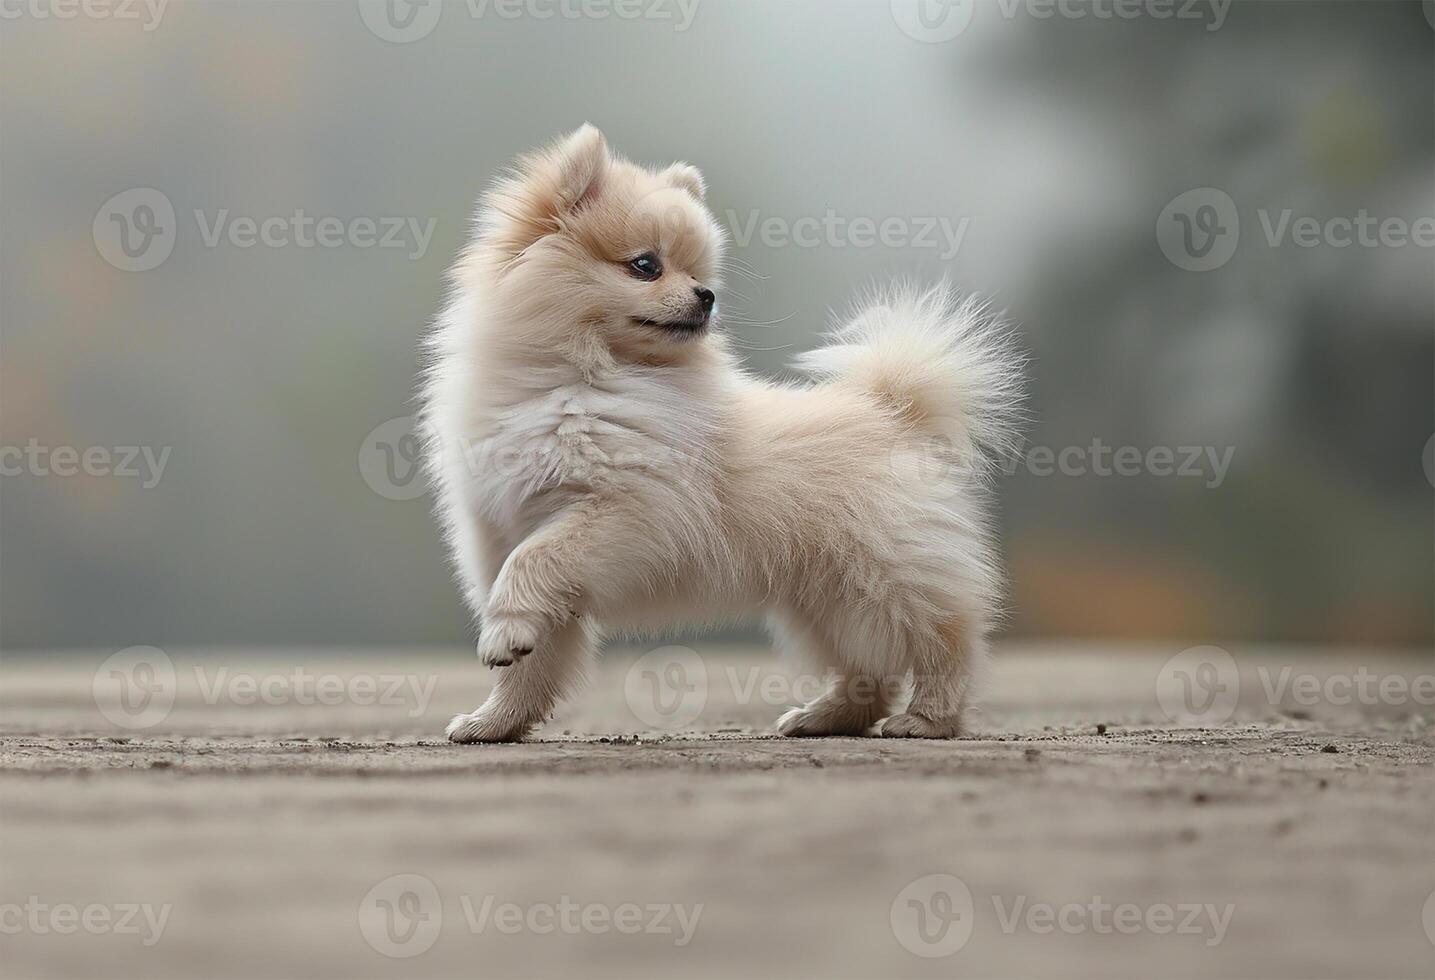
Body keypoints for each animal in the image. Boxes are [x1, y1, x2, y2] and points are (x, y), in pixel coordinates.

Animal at [419, 126, 1027, 746]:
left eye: (698, 274)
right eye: (646, 265)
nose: (707, 296)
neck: (577, 378)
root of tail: (895, 410)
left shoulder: (624, 512)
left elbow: (534, 563)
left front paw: (501, 642)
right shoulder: (499, 529)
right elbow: (532, 654)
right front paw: (496, 720)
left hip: (883, 576)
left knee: (945, 637)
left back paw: (926, 718)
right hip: (822, 599)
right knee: (866, 669)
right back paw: (825, 716)